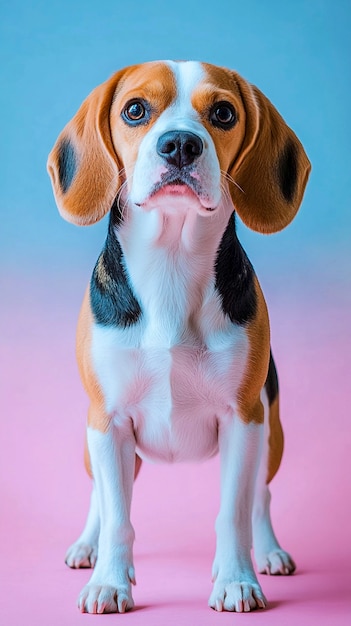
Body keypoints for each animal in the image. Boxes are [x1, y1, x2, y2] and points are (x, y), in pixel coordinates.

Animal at [46, 58, 310, 608]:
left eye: (224, 113)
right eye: (135, 110)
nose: (181, 145)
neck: (169, 263)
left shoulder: (243, 418)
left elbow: (233, 514)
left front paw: (237, 580)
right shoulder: (108, 421)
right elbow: (118, 518)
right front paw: (108, 581)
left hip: (270, 431)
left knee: (260, 497)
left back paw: (270, 552)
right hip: (93, 439)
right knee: (100, 497)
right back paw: (87, 546)